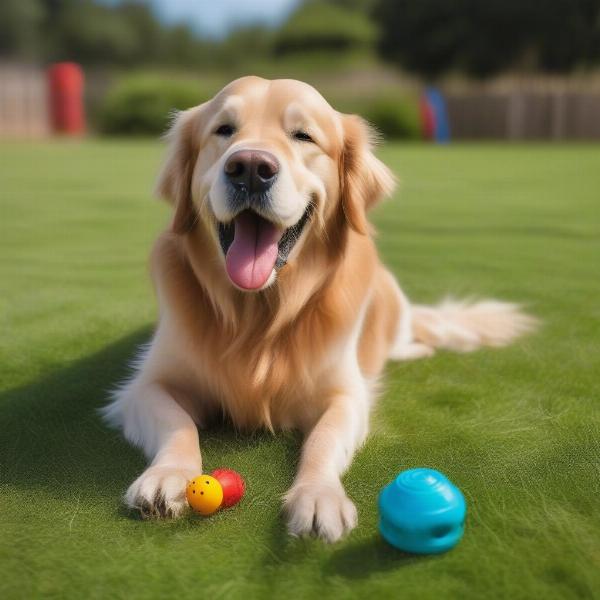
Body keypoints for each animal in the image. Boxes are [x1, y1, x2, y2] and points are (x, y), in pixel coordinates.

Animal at [103, 77, 536, 540]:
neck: (258, 315)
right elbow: (178, 423)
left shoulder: (345, 395)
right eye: (223, 130)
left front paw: (317, 495)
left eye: (303, 136)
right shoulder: (145, 387)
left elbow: (322, 440)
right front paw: (167, 474)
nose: (250, 167)